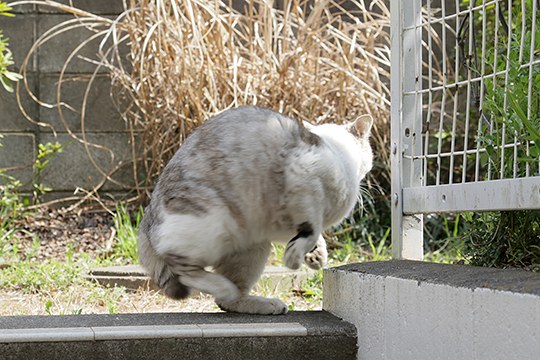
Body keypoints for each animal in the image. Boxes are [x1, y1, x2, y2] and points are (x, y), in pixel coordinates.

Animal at [137, 105, 374, 314]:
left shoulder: (286, 221)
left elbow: (313, 235)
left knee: (226, 300)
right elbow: (313, 228)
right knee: (183, 270)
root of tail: (146, 225)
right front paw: (297, 256)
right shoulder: (303, 180)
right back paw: (224, 286)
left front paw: (316, 255)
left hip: (254, 246)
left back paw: (258, 302)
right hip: (213, 224)